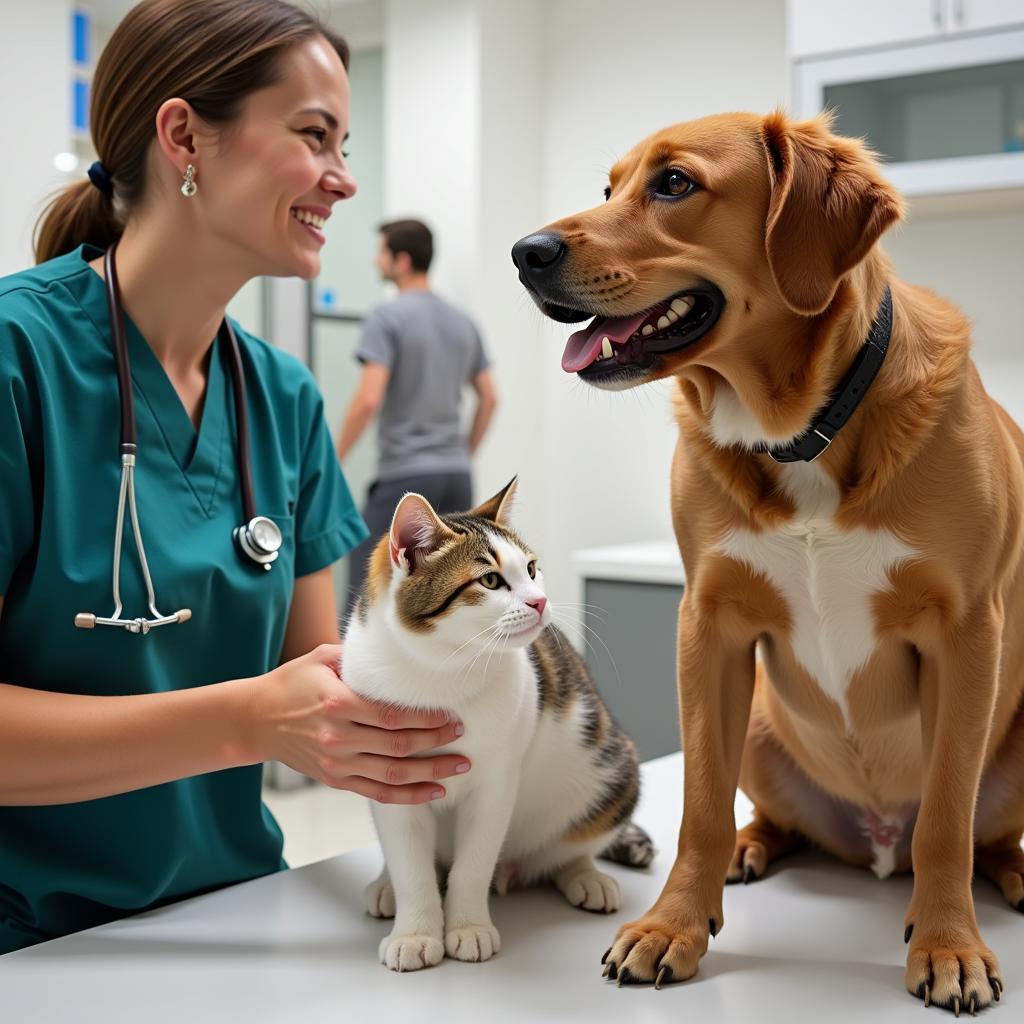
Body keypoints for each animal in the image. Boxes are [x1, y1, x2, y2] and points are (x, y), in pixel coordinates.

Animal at [339, 475, 651, 970]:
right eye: (490, 580)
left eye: (531, 568)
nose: (540, 601)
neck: (440, 672)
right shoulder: (389, 778)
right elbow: (410, 864)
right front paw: (416, 929)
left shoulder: (496, 783)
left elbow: (474, 863)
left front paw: (467, 926)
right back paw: (386, 884)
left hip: (614, 766)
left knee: (574, 842)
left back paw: (583, 874)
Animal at [512, 108, 1024, 1011]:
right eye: (608, 187)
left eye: (674, 184)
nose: (523, 252)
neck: (800, 430)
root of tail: (876, 843)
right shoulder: (708, 628)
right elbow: (702, 806)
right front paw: (674, 923)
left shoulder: (969, 635)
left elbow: (948, 820)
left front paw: (949, 944)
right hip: (756, 719)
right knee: (774, 821)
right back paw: (754, 848)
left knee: (974, 837)